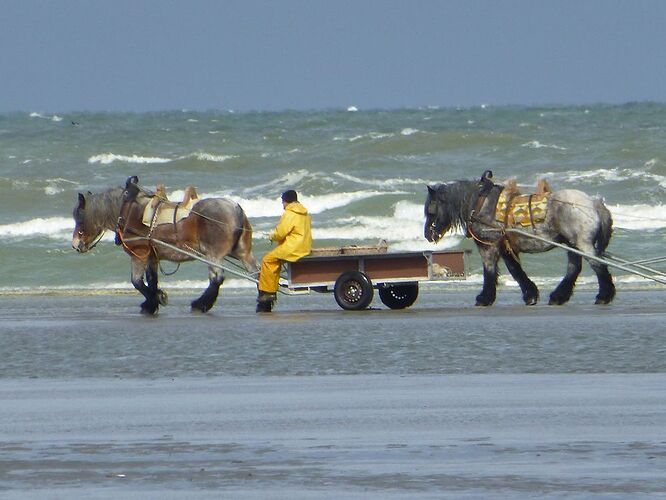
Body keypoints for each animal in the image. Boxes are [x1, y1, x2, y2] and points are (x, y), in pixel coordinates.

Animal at [71, 176, 258, 314]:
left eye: (80, 217)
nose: (75, 245)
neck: (127, 211)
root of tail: (236, 208)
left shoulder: (139, 254)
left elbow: (136, 281)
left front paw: (155, 299)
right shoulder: (152, 256)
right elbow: (152, 280)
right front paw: (153, 301)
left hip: (214, 254)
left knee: (217, 278)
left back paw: (201, 304)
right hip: (242, 252)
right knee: (257, 273)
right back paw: (262, 302)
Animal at [422, 171, 616, 304]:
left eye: (430, 210)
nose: (427, 235)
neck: (480, 204)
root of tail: (593, 203)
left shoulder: (489, 245)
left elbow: (490, 270)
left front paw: (484, 298)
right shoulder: (506, 246)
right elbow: (515, 270)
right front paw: (530, 294)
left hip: (582, 243)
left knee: (597, 265)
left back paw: (604, 295)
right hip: (572, 243)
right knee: (574, 268)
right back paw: (559, 296)